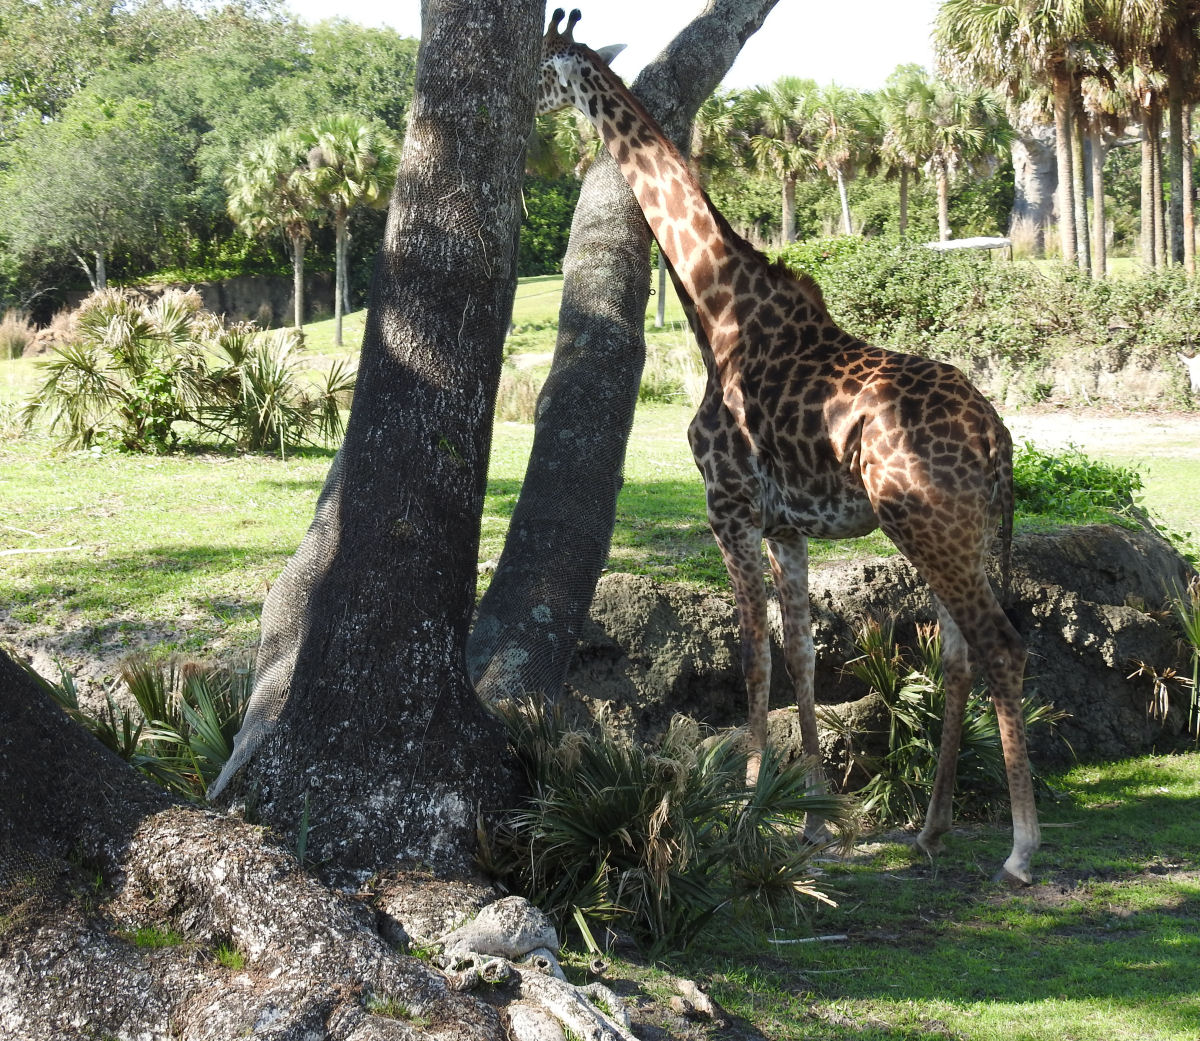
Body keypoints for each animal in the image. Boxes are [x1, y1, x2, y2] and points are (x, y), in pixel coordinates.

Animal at [540, 8, 1036, 887]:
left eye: (543, 66)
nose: (529, 106)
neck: (716, 309)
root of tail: (999, 438)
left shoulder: (728, 506)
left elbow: (752, 658)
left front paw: (744, 810)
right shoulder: (787, 526)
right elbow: (801, 654)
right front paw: (809, 818)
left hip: (925, 523)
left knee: (1001, 648)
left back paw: (1019, 849)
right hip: (964, 531)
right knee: (958, 655)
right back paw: (931, 827)